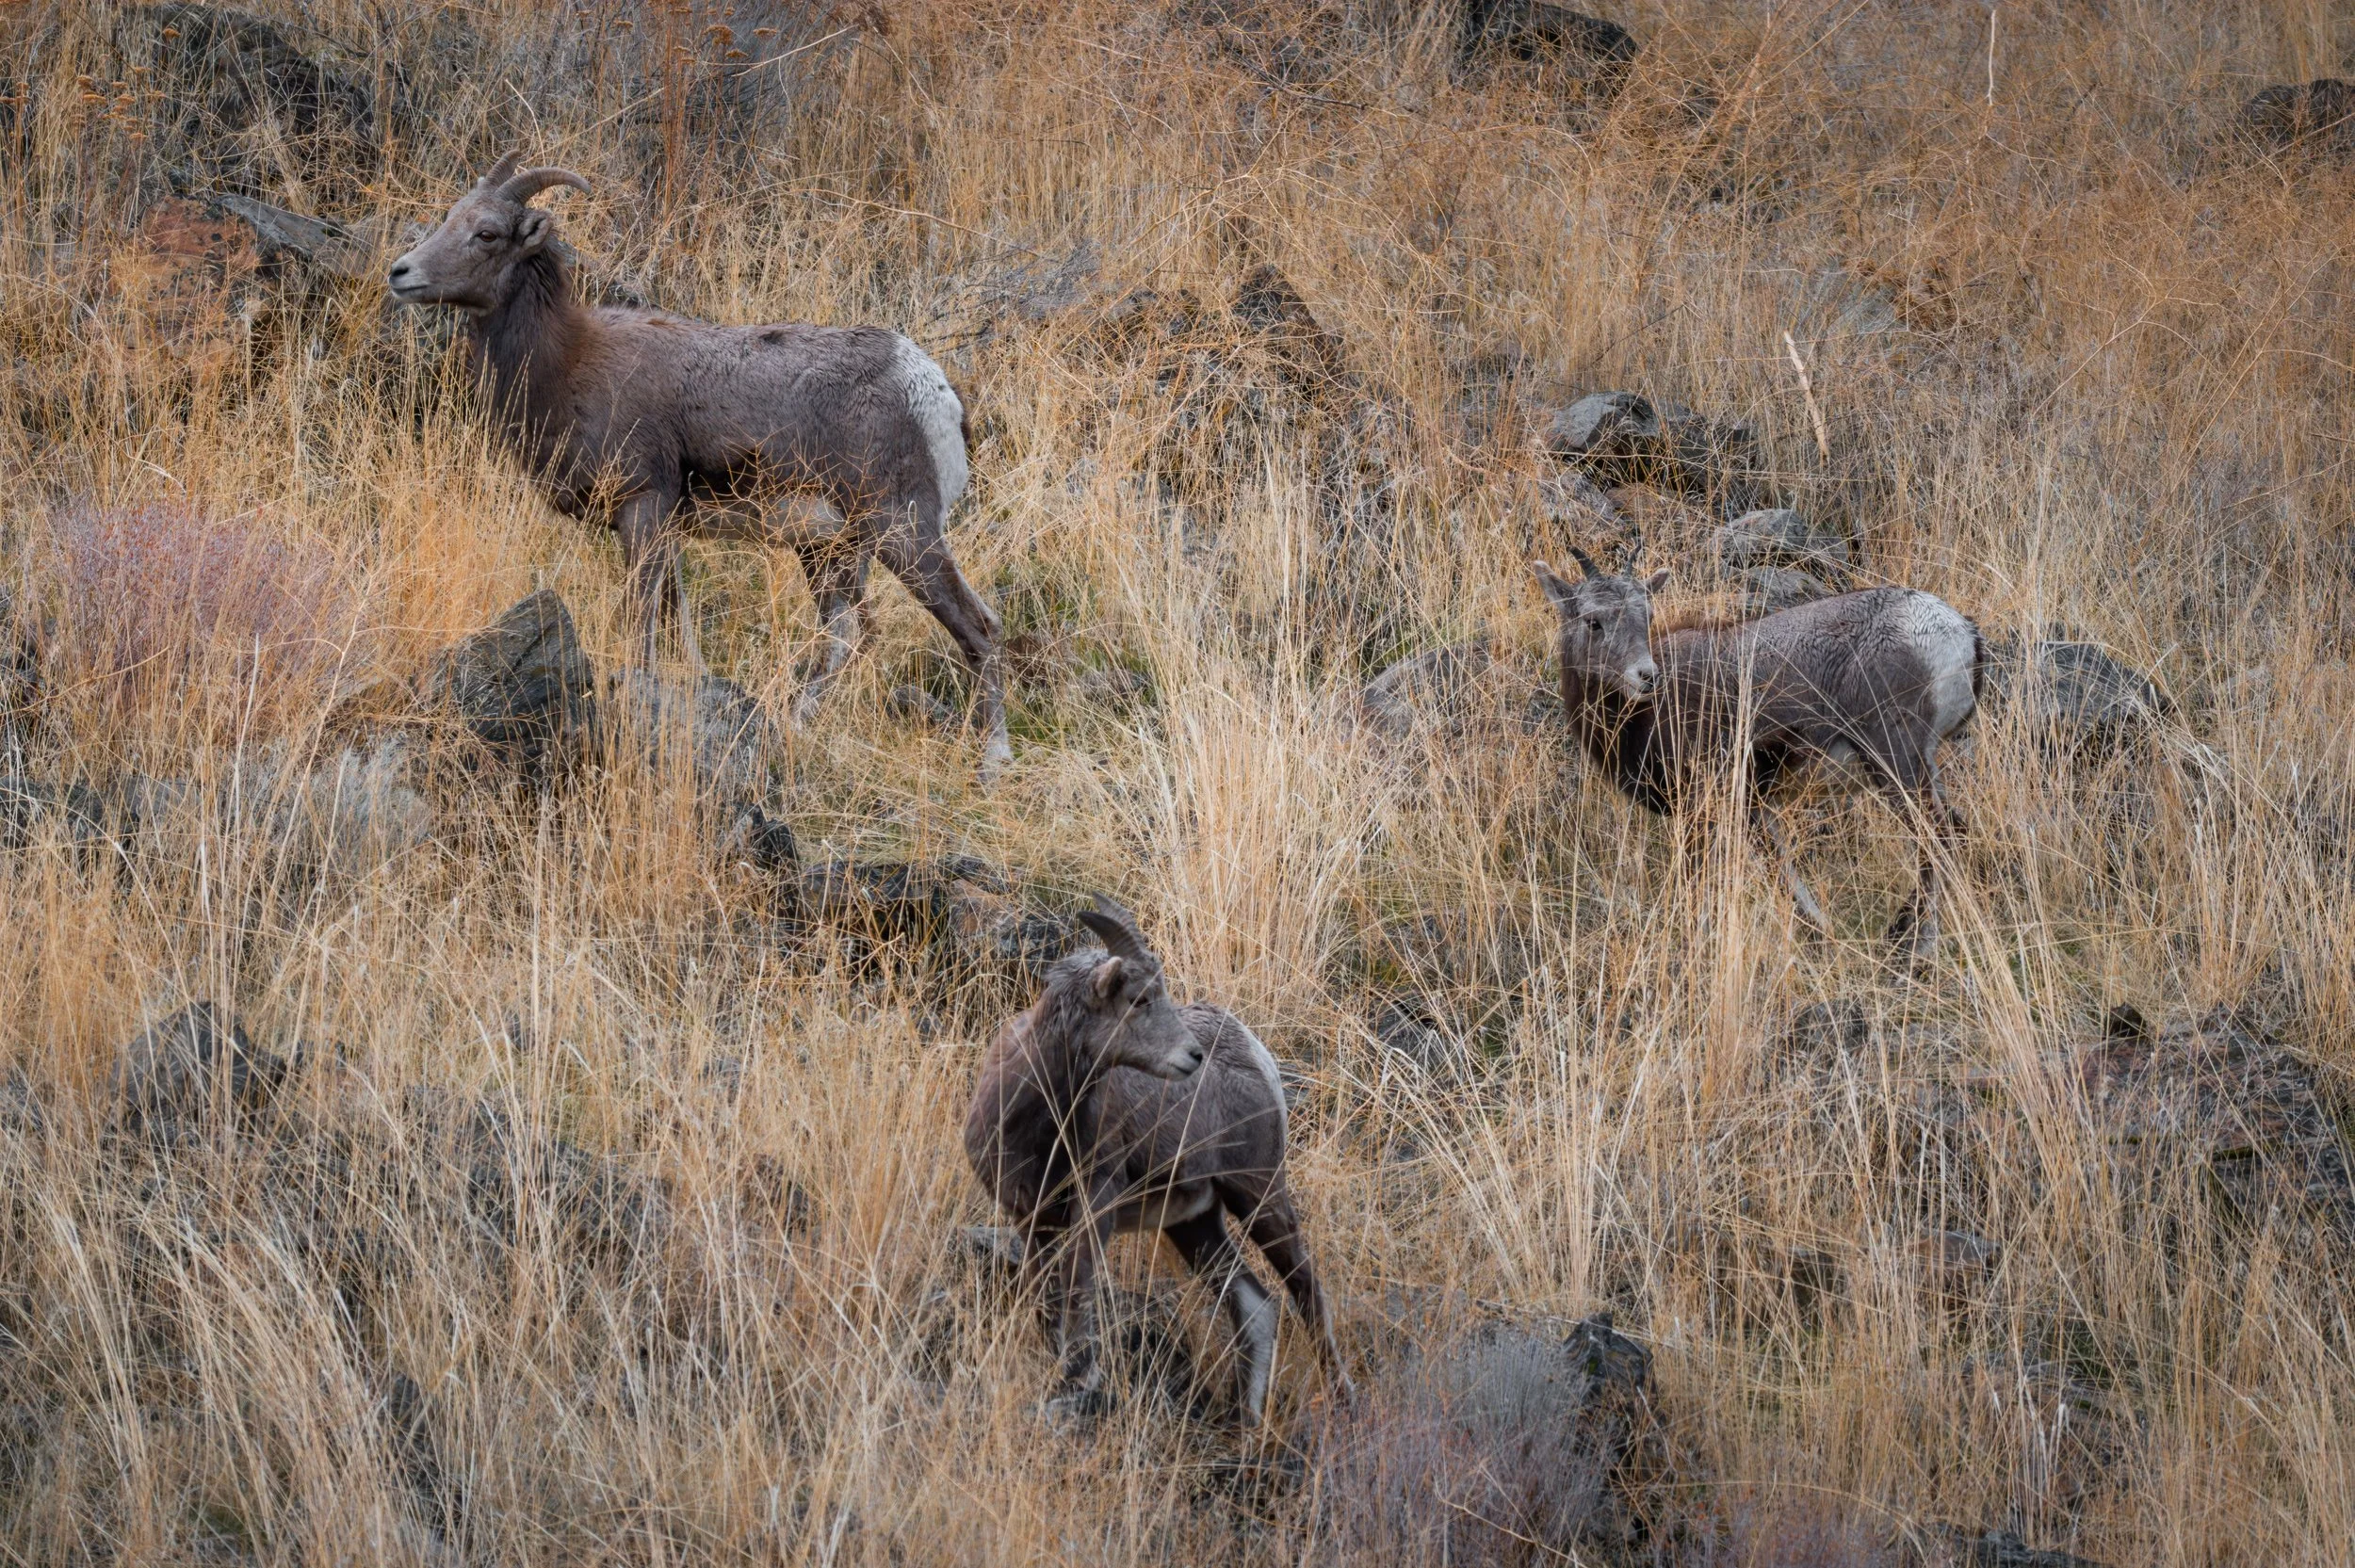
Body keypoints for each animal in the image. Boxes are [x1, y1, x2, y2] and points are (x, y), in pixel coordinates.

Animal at [386, 154, 1011, 779]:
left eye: (487, 233)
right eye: (451, 218)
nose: (401, 273)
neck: (567, 365)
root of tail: (935, 390)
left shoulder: (643, 512)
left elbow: (641, 631)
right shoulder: (664, 532)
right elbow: (679, 633)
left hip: (901, 533)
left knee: (979, 629)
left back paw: (992, 761)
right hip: (832, 550)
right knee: (848, 636)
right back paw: (792, 725)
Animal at [964, 898, 1351, 1427]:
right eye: (1141, 999)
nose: (1192, 1055)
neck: (1033, 1122)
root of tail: (1255, 1052)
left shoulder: (1094, 1209)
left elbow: (1078, 1293)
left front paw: (1077, 1385)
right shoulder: (1030, 1219)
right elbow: (1048, 1303)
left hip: (1257, 1196)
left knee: (1305, 1290)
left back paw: (1338, 1399)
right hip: (1195, 1225)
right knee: (1253, 1303)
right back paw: (1244, 1420)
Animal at [1532, 542, 1984, 958]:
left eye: (1647, 616)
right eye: (1593, 622)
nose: (1647, 677)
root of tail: (1961, 634)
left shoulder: (1705, 809)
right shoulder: (1753, 809)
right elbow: (1786, 879)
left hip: (1895, 763)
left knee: (1938, 839)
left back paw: (1917, 948)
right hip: (1922, 767)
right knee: (1956, 833)